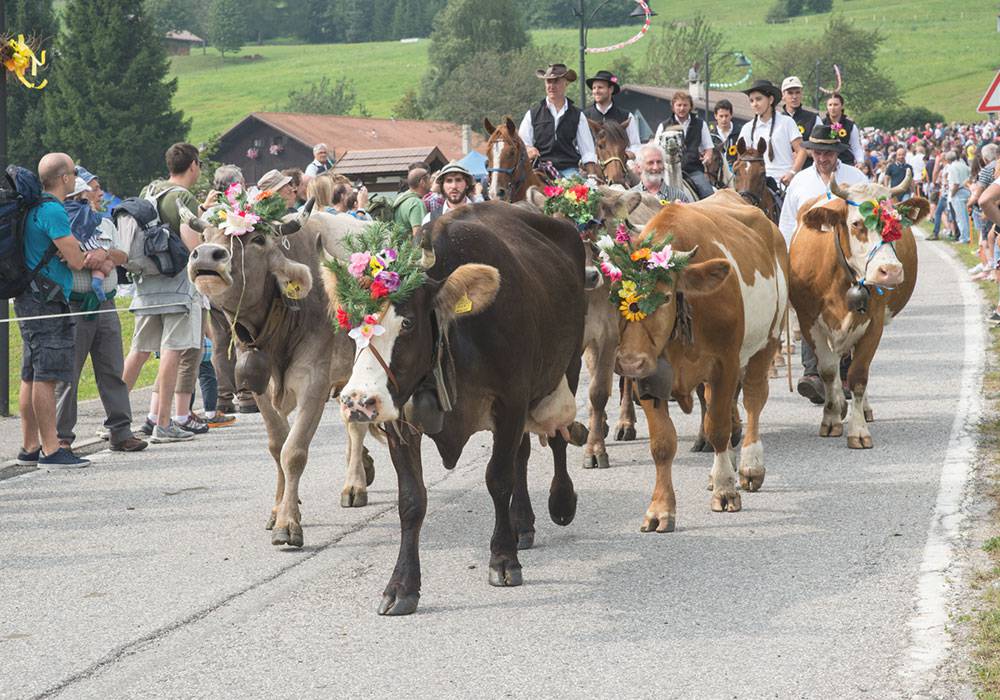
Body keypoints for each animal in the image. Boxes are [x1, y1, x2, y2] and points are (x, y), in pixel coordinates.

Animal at [182, 202, 376, 548]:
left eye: (258, 239)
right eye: (204, 236)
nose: (205, 255)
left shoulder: (315, 383)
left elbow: (294, 451)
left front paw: (288, 523)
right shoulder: (261, 388)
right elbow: (277, 446)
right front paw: (279, 508)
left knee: (357, 425)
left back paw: (354, 484)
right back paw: (363, 467)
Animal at [332, 201, 588, 612]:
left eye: (407, 323)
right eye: (350, 322)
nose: (358, 401)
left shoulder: (511, 399)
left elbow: (498, 478)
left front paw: (503, 559)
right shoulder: (398, 420)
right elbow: (412, 500)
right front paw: (402, 585)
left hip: (567, 365)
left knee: (557, 438)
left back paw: (559, 503)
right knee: (523, 452)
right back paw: (522, 522)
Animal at [608, 191, 788, 532]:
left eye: (665, 297)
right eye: (618, 298)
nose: (629, 363)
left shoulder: (725, 363)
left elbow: (717, 427)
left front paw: (726, 490)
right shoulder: (650, 377)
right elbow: (662, 444)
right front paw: (660, 509)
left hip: (767, 341)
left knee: (753, 401)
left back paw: (749, 467)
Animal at [788, 171, 928, 448]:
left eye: (896, 225)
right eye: (856, 224)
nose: (890, 271)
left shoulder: (873, 323)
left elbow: (859, 375)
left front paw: (859, 430)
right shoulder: (809, 322)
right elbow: (828, 370)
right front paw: (831, 418)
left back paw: (862, 408)